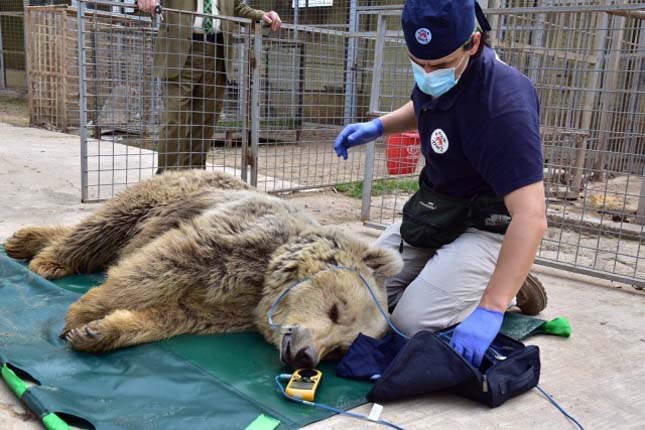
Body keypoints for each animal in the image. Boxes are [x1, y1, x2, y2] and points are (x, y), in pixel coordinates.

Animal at [6, 170, 402, 368]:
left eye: (340, 350)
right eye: (336, 310)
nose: (306, 357)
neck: (261, 286)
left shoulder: (228, 310)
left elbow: (174, 315)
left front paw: (95, 331)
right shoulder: (226, 241)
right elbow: (155, 267)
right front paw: (81, 314)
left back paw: (24, 240)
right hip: (162, 199)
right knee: (102, 226)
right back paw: (43, 257)